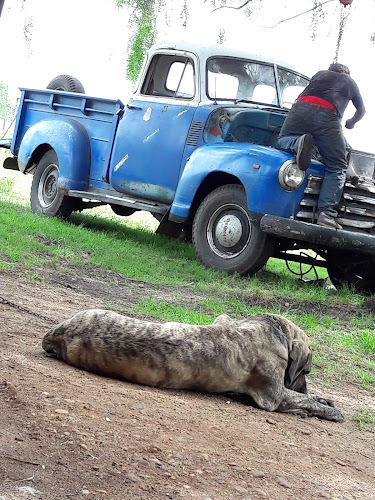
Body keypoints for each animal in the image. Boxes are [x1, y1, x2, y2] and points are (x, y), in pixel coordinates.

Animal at [42, 308, 346, 422]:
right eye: (306, 371)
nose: (305, 386)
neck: (272, 327)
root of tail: (60, 331)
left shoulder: (222, 319)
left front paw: (321, 399)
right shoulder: (274, 397)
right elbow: (300, 400)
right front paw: (326, 409)